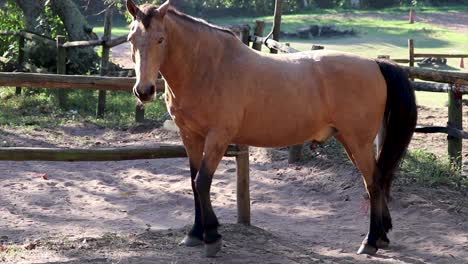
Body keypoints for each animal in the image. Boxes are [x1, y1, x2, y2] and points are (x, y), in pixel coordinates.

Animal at [124, 0, 416, 256]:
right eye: (131, 39)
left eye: (161, 39)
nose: (144, 91)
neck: (208, 68)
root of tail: (375, 64)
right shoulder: (190, 136)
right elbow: (194, 182)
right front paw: (196, 233)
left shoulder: (218, 137)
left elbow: (203, 181)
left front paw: (212, 237)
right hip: (352, 140)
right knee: (379, 179)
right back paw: (381, 236)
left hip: (358, 141)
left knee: (373, 183)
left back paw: (370, 241)